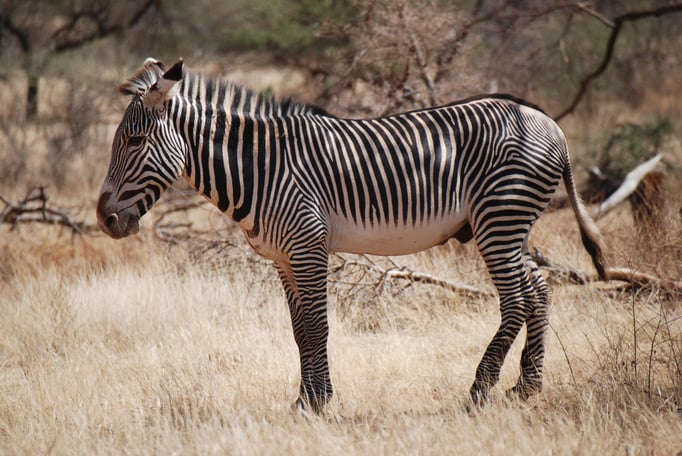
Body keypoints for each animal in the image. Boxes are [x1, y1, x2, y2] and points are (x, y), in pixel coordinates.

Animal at [97, 58, 608, 413]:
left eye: (134, 141)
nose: (105, 220)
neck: (262, 169)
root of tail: (551, 124)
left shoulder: (308, 246)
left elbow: (317, 325)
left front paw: (320, 400)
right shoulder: (283, 258)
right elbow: (299, 330)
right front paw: (303, 399)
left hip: (498, 219)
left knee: (517, 299)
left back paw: (481, 388)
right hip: (512, 224)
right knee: (539, 288)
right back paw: (527, 385)